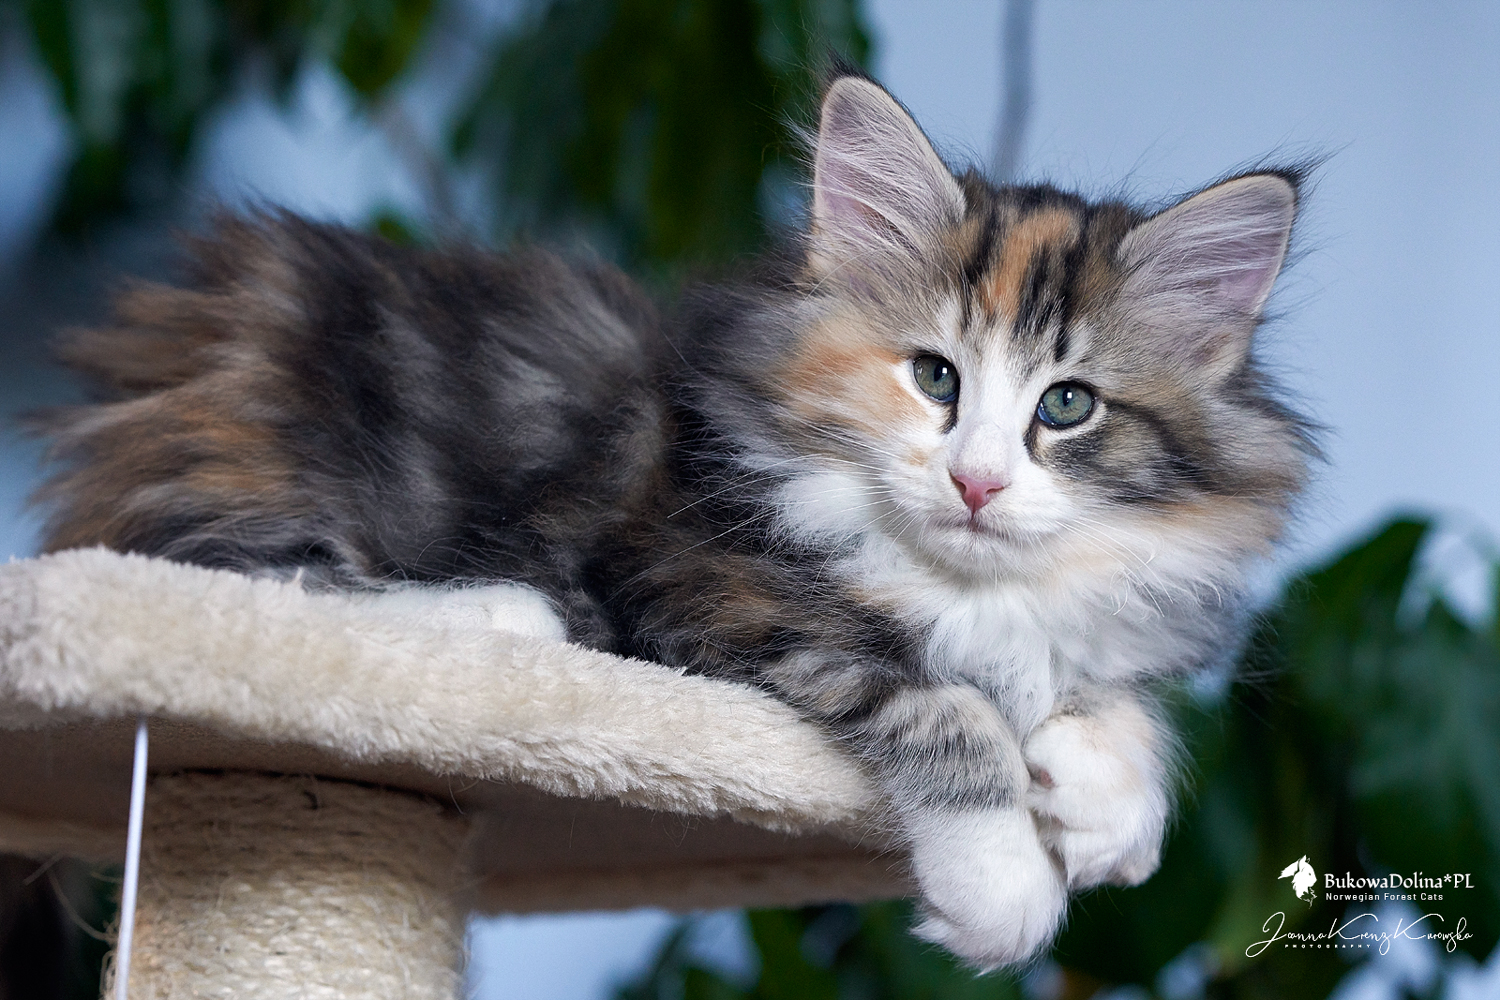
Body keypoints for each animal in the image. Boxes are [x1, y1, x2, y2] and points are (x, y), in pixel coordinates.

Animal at [35, 73, 1312, 968]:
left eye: (1067, 405)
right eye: (935, 378)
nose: (978, 483)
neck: (963, 582)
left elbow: (1104, 688)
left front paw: (1110, 803)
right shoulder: (708, 583)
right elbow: (943, 705)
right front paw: (1004, 882)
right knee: (229, 577)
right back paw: (499, 616)